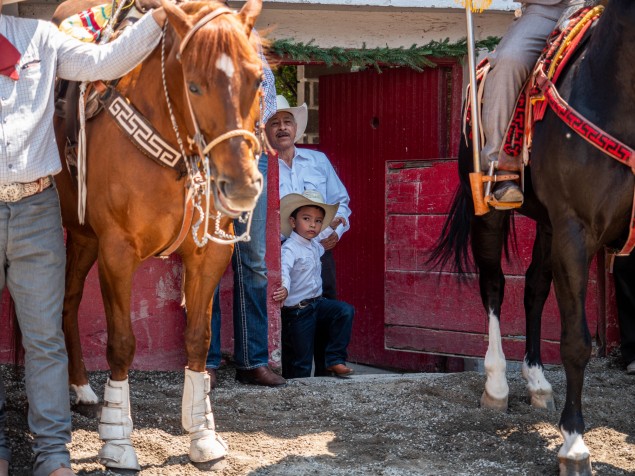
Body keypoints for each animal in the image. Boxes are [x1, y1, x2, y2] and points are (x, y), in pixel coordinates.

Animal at [51, 0, 266, 468]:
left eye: (258, 79)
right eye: (194, 85)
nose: (241, 186)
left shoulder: (209, 256)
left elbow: (199, 339)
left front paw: (202, 433)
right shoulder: (117, 251)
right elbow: (121, 343)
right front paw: (116, 440)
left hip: (84, 237)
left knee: (68, 302)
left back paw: (79, 387)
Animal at [432, 1, 635, 474]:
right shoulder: (576, 230)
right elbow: (576, 341)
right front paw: (574, 445)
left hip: (546, 225)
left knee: (535, 289)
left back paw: (538, 381)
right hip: (491, 214)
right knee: (494, 286)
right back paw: (497, 386)